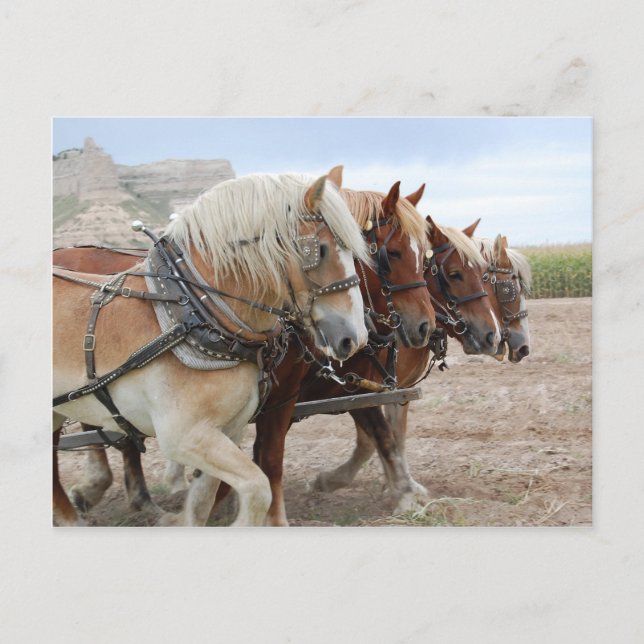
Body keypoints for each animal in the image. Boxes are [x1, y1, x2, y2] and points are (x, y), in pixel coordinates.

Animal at [53, 171, 371, 526]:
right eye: (322, 250)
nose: (355, 337)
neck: (194, 313)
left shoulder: (227, 431)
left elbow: (203, 502)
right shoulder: (184, 436)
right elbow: (258, 488)